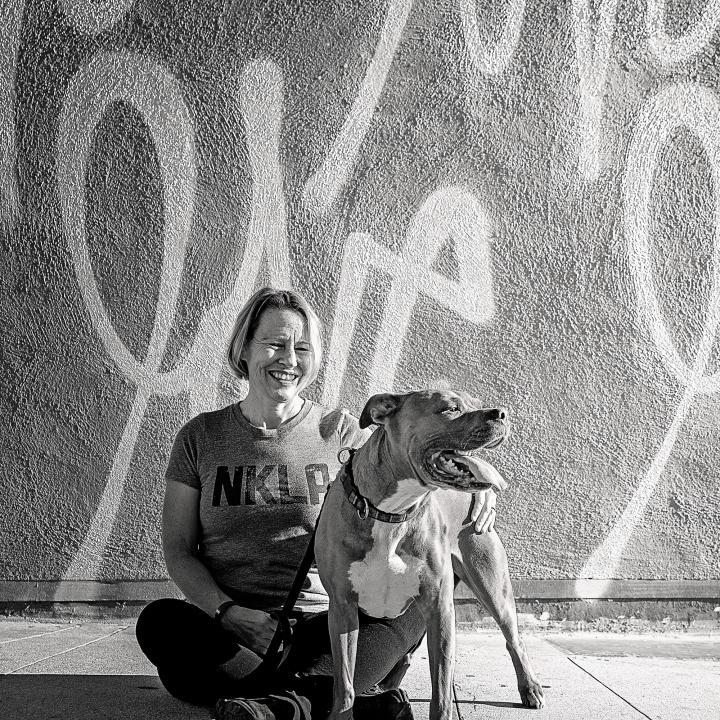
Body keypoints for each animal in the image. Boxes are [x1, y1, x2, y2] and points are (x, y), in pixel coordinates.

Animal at [312, 390, 544, 716]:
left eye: (475, 403)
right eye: (450, 408)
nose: (502, 413)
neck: (392, 513)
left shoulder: (439, 609)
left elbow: (442, 691)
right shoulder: (343, 608)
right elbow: (344, 686)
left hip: (492, 585)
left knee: (514, 638)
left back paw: (530, 687)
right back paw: (387, 687)